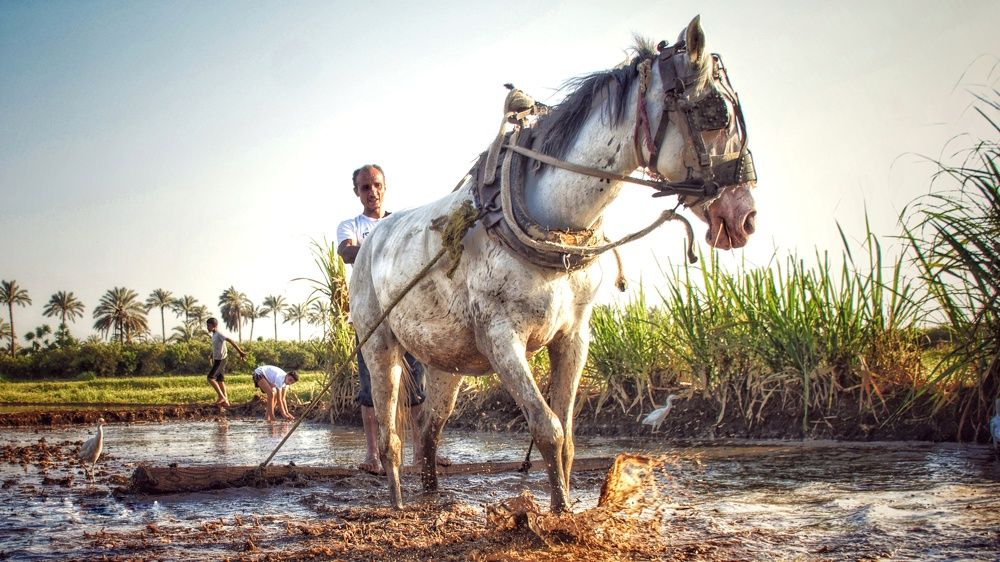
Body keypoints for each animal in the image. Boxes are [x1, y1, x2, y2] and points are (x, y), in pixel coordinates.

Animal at [350, 16, 758, 512]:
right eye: (716, 112)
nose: (744, 216)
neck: (549, 222)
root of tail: (373, 238)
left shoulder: (574, 336)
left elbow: (568, 437)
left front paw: (565, 508)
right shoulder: (502, 339)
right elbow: (547, 427)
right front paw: (558, 512)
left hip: (446, 360)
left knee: (430, 428)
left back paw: (431, 497)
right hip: (380, 346)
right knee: (391, 432)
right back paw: (397, 503)